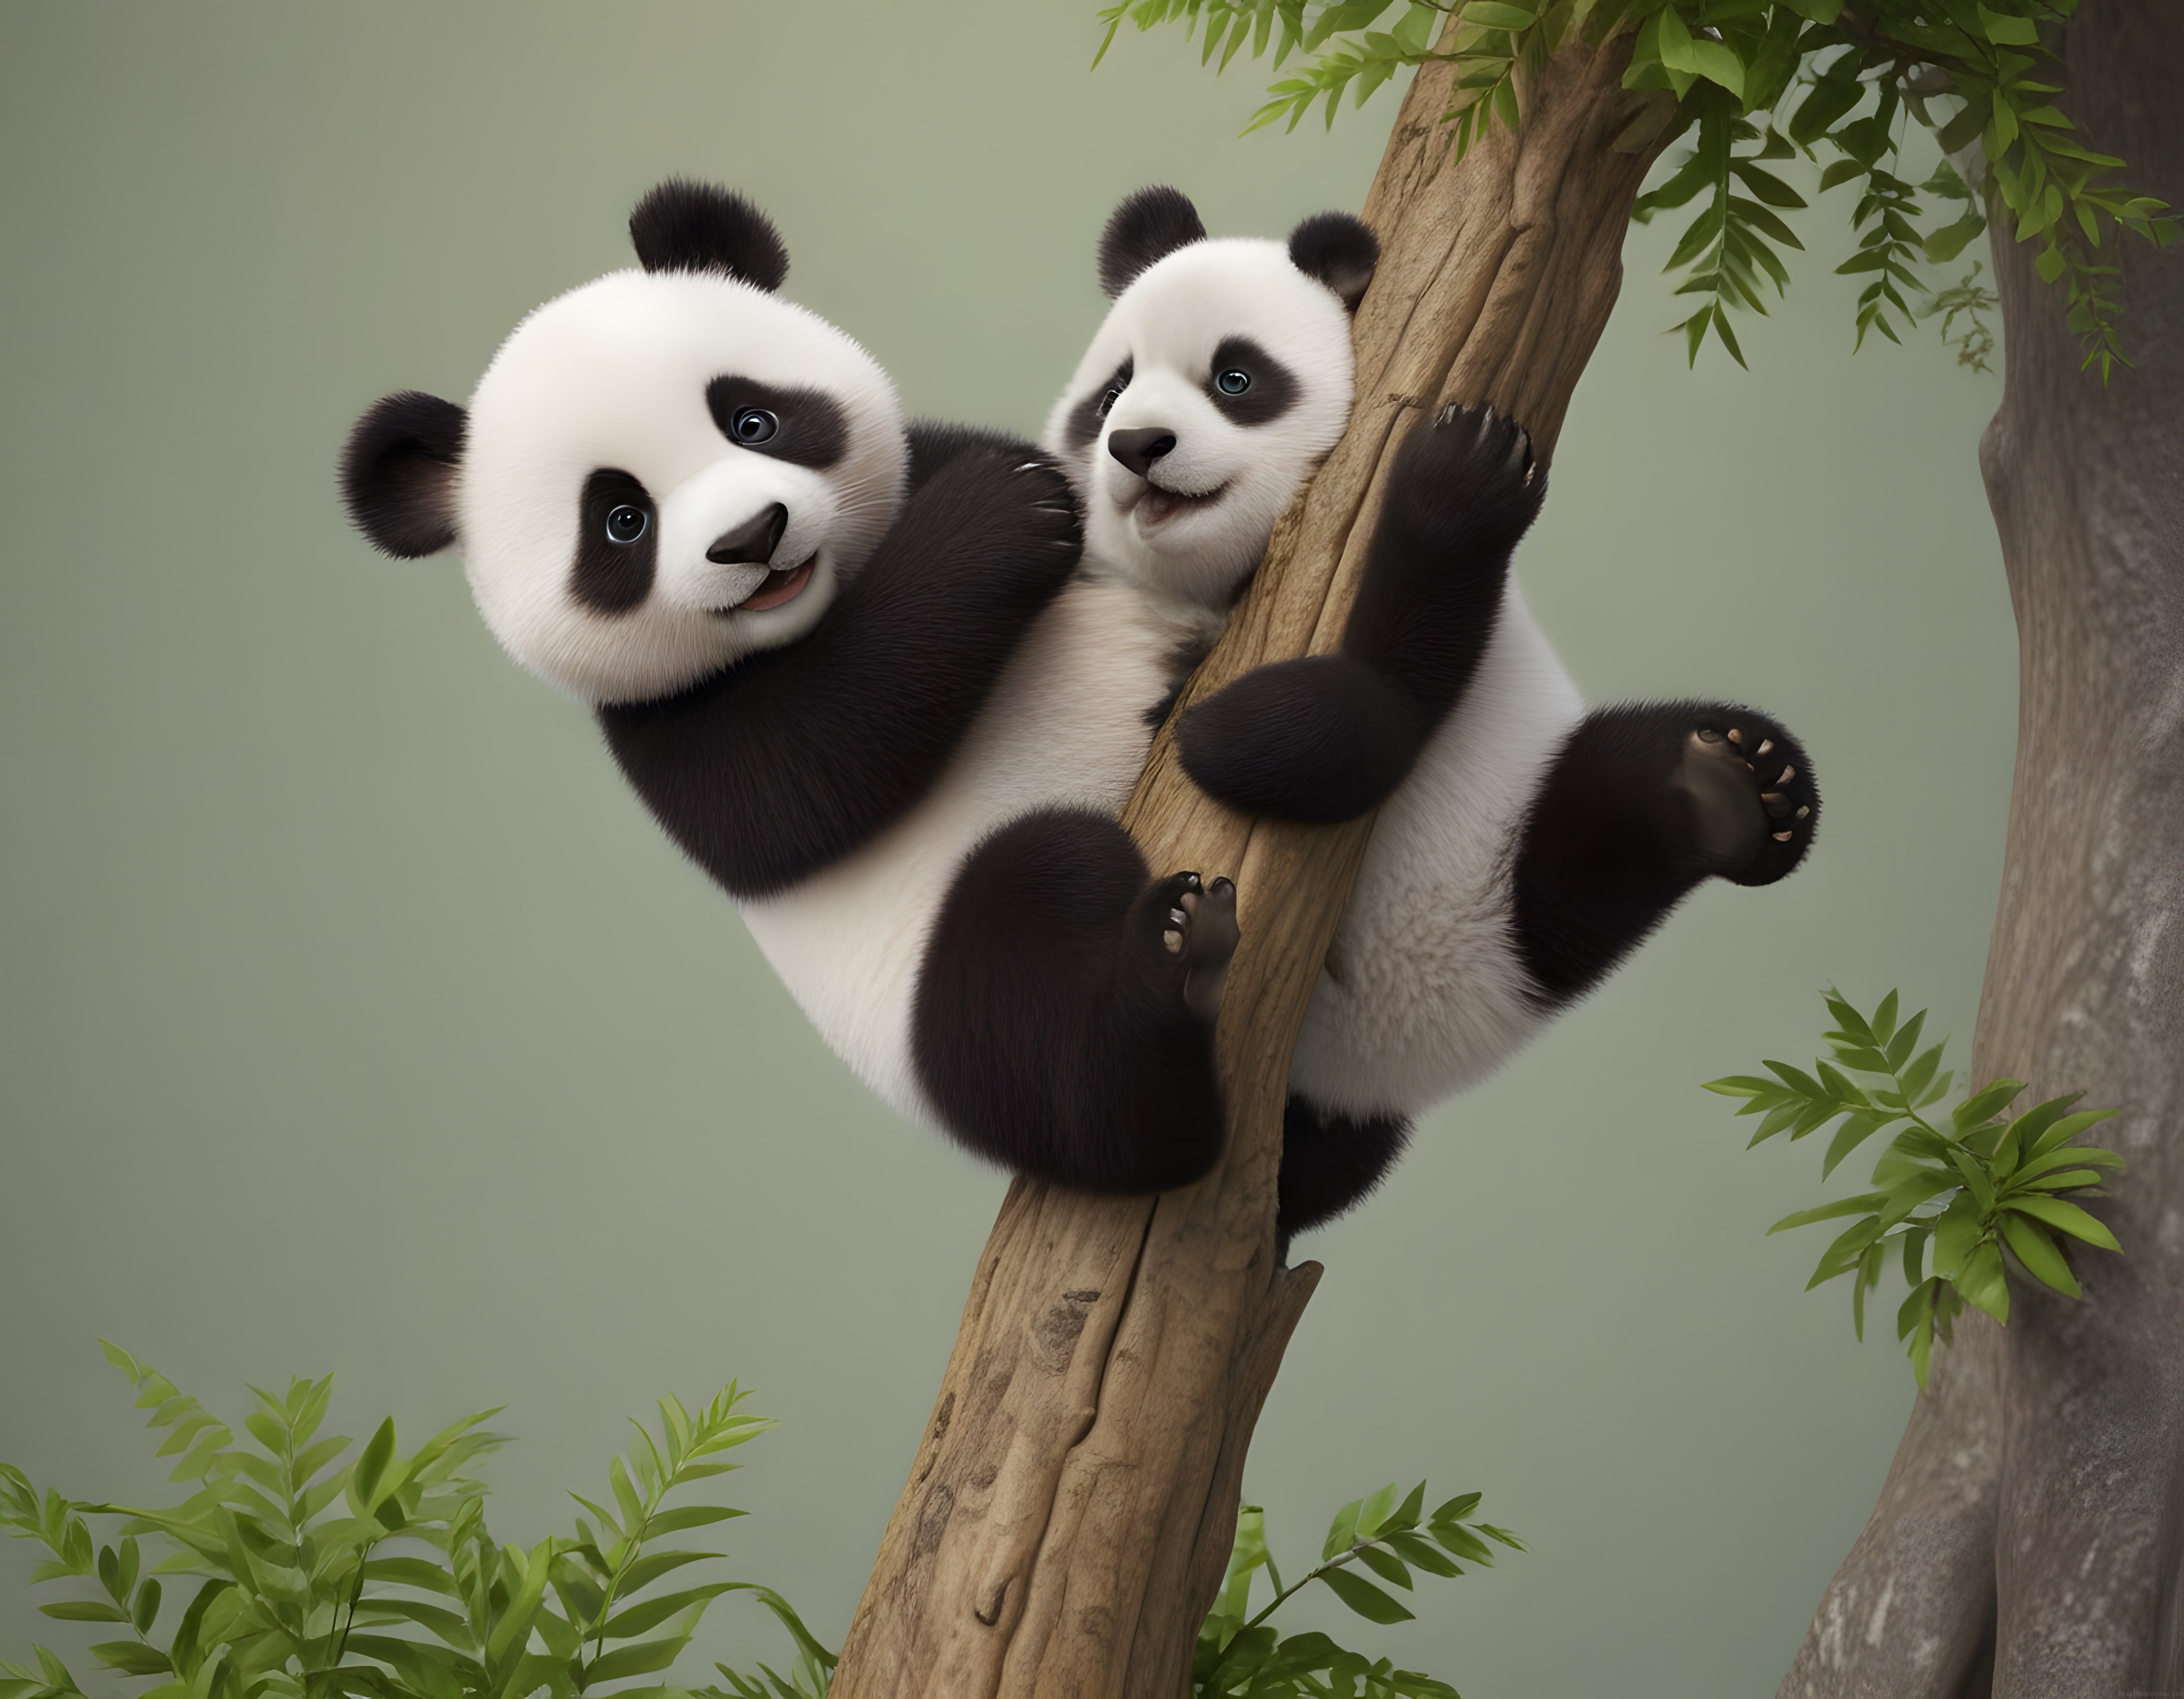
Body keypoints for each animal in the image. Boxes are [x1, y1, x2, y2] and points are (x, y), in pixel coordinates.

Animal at [1042, 187, 1822, 1241]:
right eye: (1112, 392)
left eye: (1235, 379)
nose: (1135, 447)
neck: (1221, 585)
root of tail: (1398, 1042)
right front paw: (1196, 712)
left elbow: (1418, 648)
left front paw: (1462, 476)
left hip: (1516, 858)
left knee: (1608, 819)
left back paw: (1736, 789)